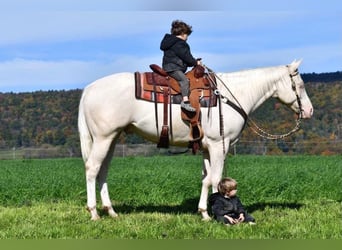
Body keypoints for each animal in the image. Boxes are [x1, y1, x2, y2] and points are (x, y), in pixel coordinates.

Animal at [77, 59, 312, 220]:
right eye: (299, 85)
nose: (309, 111)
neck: (230, 96)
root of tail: (88, 89)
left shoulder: (208, 148)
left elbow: (206, 179)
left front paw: (204, 212)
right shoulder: (219, 146)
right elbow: (217, 179)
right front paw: (218, 215)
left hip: (112, 139)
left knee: (103, 171)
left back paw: (111, 211)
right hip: (103, 138)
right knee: (92, 169)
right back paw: (94, 212)